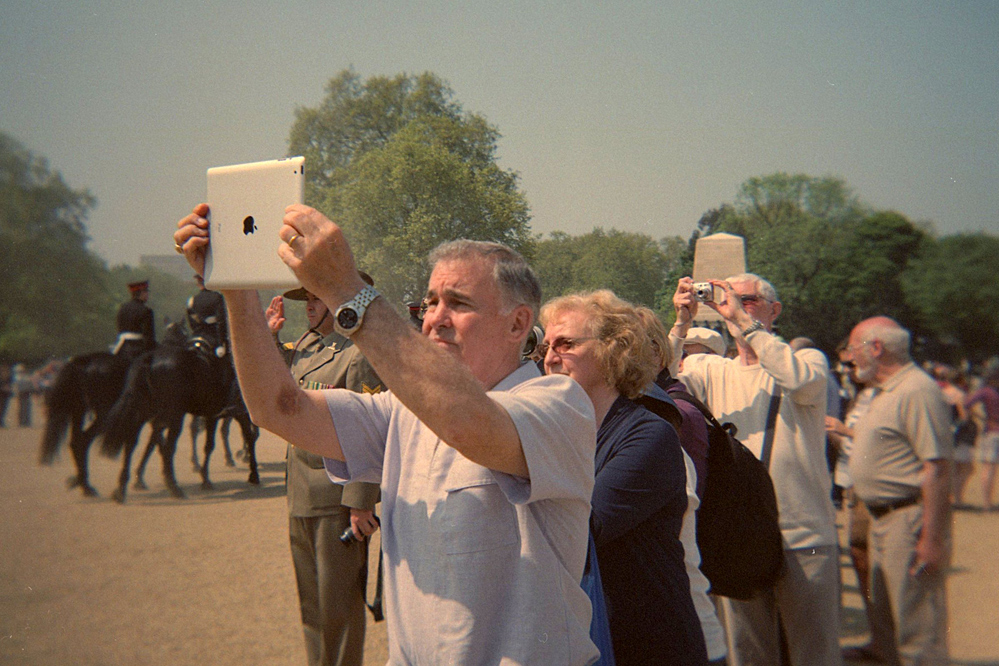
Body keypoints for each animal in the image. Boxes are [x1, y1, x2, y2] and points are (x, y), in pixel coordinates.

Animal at [98, 324, 258, 500]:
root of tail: (150, 358)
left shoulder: (214, 414)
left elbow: (211, 444)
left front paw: (205, 477)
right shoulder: (238, 413)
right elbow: (242, 439)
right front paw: (251, 473)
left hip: (144, 411)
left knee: (131, 443)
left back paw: (122, 488)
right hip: (174, 414)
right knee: (169, 446)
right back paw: (173, 486)